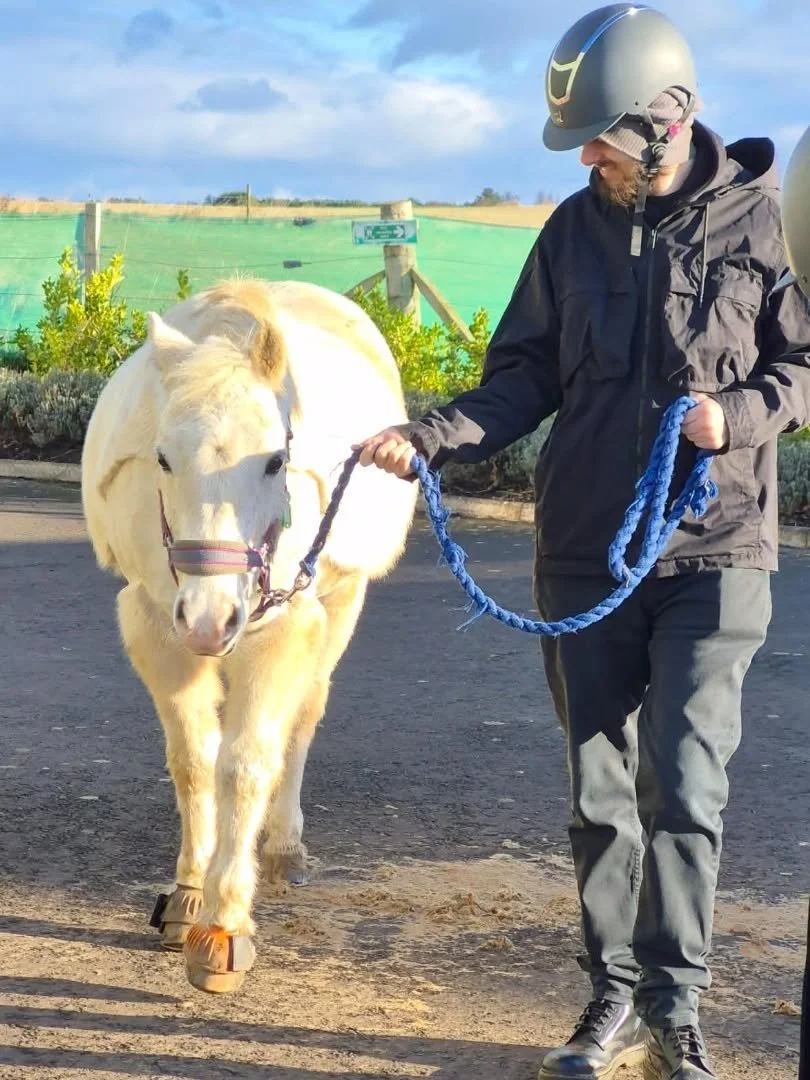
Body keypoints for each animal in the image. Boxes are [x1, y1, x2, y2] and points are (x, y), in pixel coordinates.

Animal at [81, 278, 417, 994]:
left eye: (275, 461)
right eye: (162, 457)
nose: (212, 619)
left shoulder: (284, 626)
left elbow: (245, 763)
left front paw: (225, 925)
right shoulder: (158, 621)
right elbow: (194, 759)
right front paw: (188, 896)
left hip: (341, 601)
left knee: (304, 718)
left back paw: (284, 843)